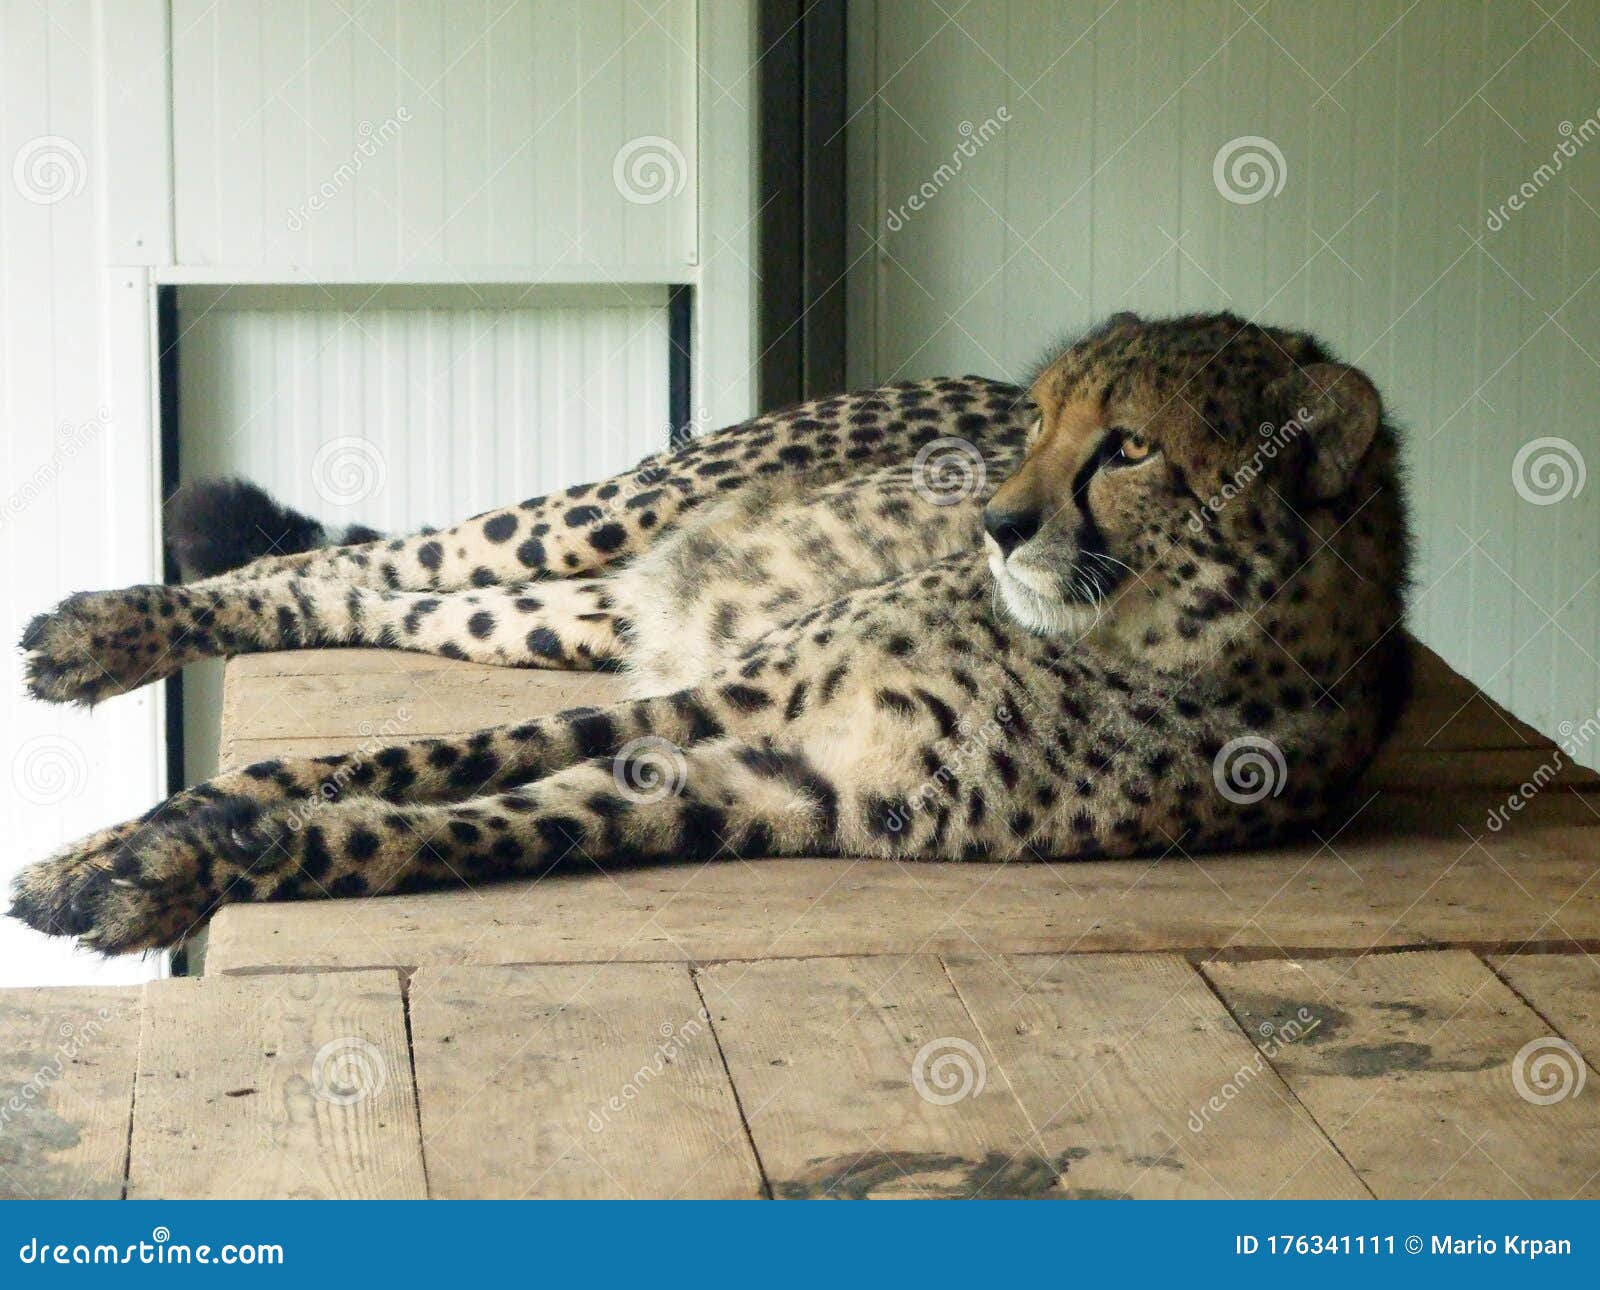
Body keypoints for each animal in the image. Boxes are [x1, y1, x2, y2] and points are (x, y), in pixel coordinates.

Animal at [12, 313, 1414, 953]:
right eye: (1043, 424)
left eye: (1127, 447)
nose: (997, 523)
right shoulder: (715, 698)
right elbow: (369, 764)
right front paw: (119, 849)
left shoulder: (775, 785)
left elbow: (436, 820)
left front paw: (177, 867)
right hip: (606, 519)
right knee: (344, 565)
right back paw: (103, 632)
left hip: (585, 611)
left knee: (386, 601)